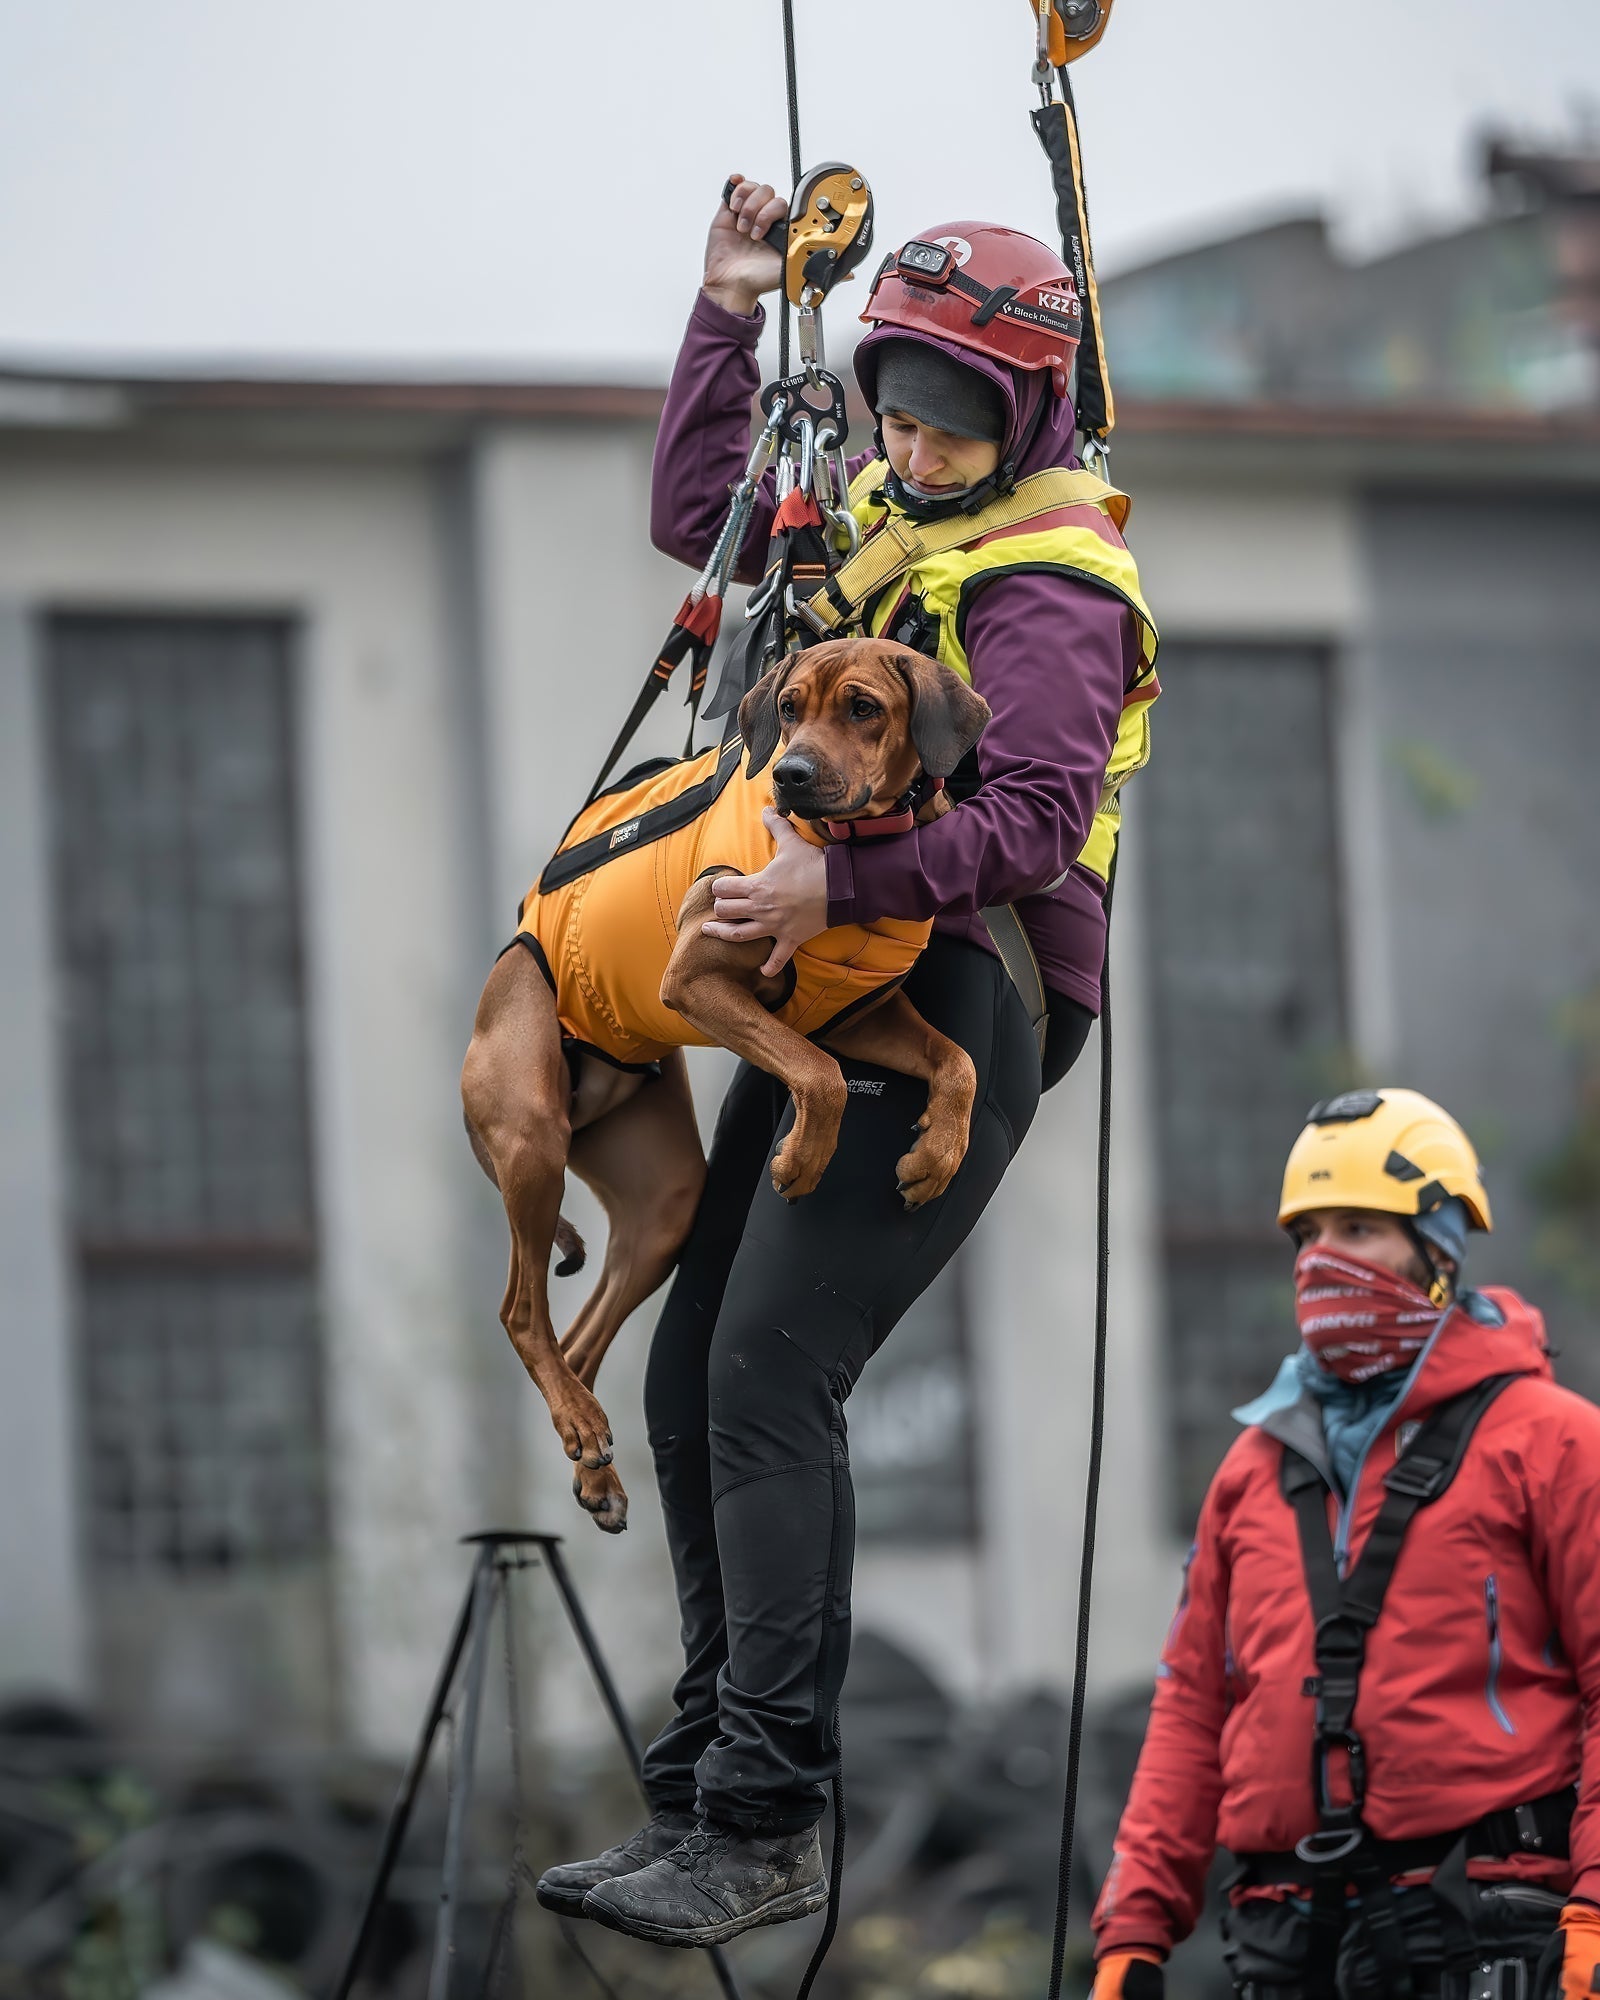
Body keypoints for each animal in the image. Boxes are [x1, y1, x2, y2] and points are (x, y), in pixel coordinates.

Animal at [460, 640, 988, 1528]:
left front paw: (934, 1157)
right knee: (521, 1313)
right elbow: (820, 1075)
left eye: (863, 708)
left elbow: (960, 1062)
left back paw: (591, 1456)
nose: (794, 774)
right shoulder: (699, 982)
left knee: (578, 1341)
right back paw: (579, 1422)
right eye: (790, 707)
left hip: (664, 1201)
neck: (846, 846)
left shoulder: (856, 1015)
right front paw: (803, 1161)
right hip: (532, 1134)